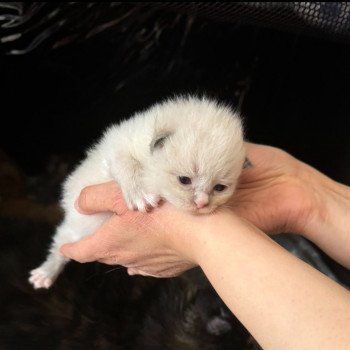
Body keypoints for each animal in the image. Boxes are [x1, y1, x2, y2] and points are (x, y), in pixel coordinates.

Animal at [28, 96, 245, 290]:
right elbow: (126, 164)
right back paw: (45, 273)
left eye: (220, 188)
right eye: (184, 180)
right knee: (60, 244)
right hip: (79, 226)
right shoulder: (117, 148)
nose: (202, 203)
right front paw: (139, 193)